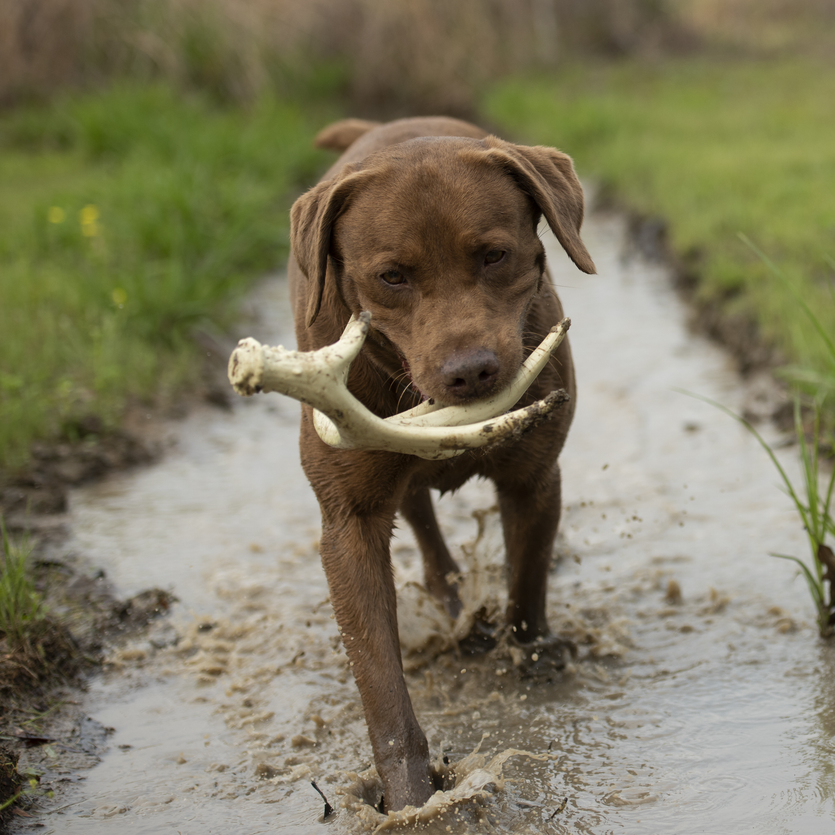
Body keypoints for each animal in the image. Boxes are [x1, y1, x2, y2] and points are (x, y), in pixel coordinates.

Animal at [288, 117, 596, 808]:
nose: (470, 371)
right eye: (392, 277)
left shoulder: (535, 479)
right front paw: (409, 798)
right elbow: (379, 681)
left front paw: (532, 658)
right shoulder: (348, 523)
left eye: (494, 255)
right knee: (423, 522)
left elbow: (526, 583)